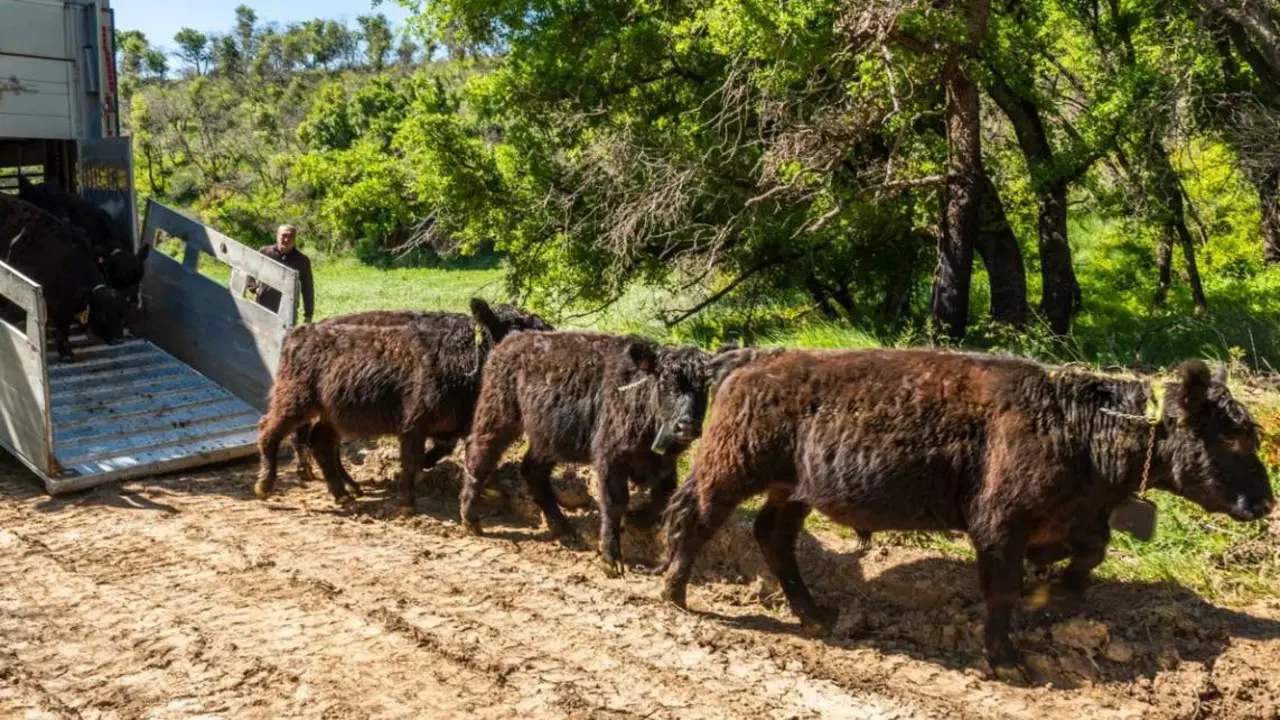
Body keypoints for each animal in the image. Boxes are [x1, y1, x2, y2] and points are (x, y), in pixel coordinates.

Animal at [1, 194, 126, 360]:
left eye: (121, 315)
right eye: (104, 315)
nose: (119, 340)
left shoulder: (65, 307)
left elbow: (64, 328)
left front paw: (66, 352)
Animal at [254, 299, 551, 512]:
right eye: (519, 333)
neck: (464, 361)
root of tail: (300, 331)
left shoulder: (460, 424)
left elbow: (460, 453)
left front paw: (491, 490)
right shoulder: (414, 423)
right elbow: (412, 459)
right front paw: (408, 504)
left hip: (331, 414)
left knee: (320, 443)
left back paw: (345, 494)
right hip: (295, 400)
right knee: (271, 430)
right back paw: (266, 485)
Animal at [460, 331, 719, 576]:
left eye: (704, 387)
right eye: (666, 382)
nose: (686, 426)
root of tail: (509, 341)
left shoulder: (664, 463)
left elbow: (664, 497)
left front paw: (636, 519)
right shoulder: (610, 458)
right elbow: (615, 502)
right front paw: (611, 560)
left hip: (549, 440)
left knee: (532, 471)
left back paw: (566, 532)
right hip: (498, 416)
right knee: (480, 453)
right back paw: (471, 519)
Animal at [661, 349, 1274, 679]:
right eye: (1233, 437)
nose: (1265, 503)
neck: (1074, 423)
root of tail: (754, 358)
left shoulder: (1072, 519)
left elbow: (1089, 555)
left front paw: (1051, 594)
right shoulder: (1001, 526)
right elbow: (1001, 590)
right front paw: (1008, 661)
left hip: (793, 489)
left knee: (773, 536)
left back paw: (814, 615)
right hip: (732, 468)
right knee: (695, 514)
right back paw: (674, 590)